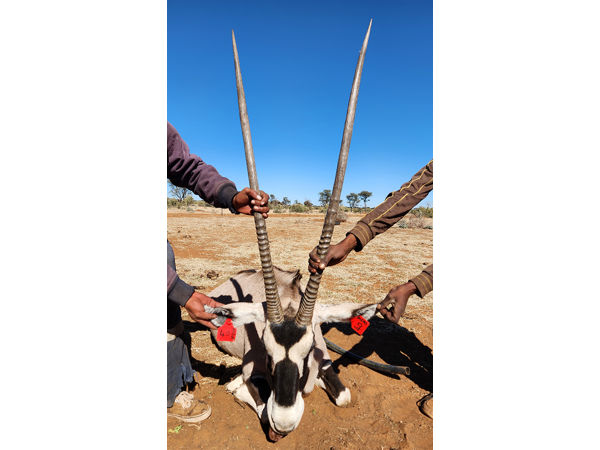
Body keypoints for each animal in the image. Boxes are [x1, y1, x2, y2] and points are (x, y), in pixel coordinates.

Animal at [204, 21, 374, 442]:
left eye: (308, 352)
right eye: (266, 351)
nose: (284, 420)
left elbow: (343, 396)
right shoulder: (249, 372)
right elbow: (242, 393)